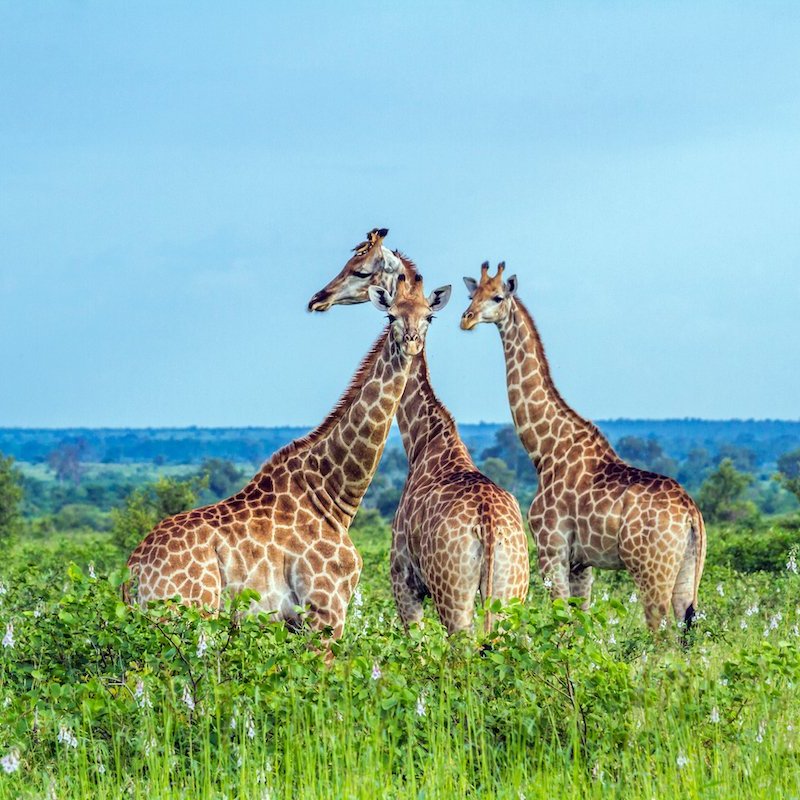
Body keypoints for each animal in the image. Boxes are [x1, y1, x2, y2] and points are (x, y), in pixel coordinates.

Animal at [124, 270, 450, 644]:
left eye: (429, 316)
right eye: (391, 316)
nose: (411, 342)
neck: (332, 495)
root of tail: (133, 572)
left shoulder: (293, 622)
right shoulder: (326, 609)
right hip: (186, 614)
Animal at [308, 228, 532, 636]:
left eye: (359, 269)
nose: (320, 298)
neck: (425, 440)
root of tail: (489, 527)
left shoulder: (403, 580)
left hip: (453, 596)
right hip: (512, 593)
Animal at [462, 262, 708, 632]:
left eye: (497, 297)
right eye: (471, 295)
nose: (466, 318)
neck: (545, 450)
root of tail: (692, 513)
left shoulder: (551, 549)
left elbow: (561, 621)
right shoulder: (582, 563)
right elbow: (580, 624)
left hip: (651, 570)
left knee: (661, 631)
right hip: (688, 571)